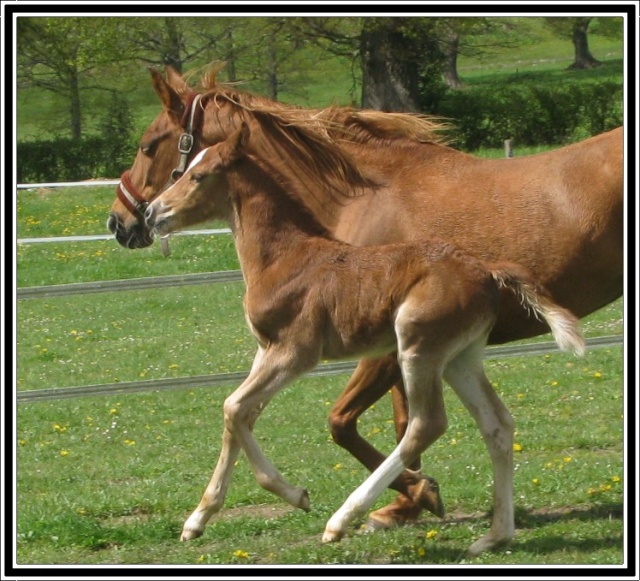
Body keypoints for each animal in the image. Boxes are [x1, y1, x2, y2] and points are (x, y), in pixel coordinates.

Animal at [107, 63, 624, 532]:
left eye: (149, 145)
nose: (126, 220)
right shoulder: (344, 350)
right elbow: (265, 415)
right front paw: (408, 502)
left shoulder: (361, 350)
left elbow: (340, 422)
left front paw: (410, 495)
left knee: (429, 422)